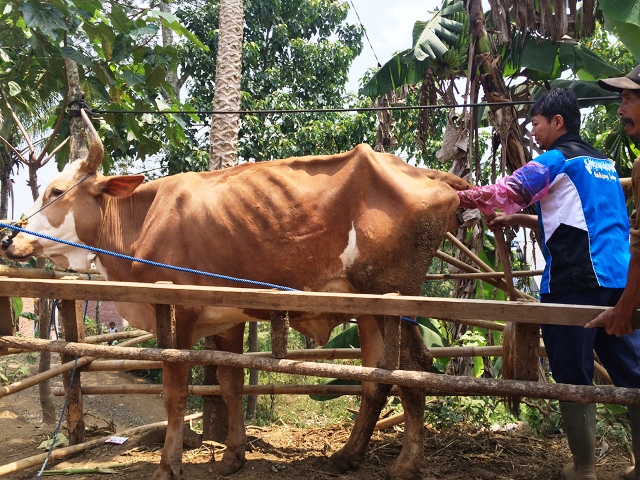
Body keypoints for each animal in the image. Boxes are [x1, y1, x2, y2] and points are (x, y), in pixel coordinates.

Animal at [1, 110, 470, 478]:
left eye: (56, 192)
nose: (10, 240)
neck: (141, 219)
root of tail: (426, 173)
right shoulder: (223, 317)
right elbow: (229, 385)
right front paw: (232, 457)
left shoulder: (179, 309)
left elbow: (175, 391)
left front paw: (168, 465)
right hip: (367, 307)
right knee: (377, 376)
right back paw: (347, 456)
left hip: (396, 298)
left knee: (414, 368)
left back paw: (407, 463)